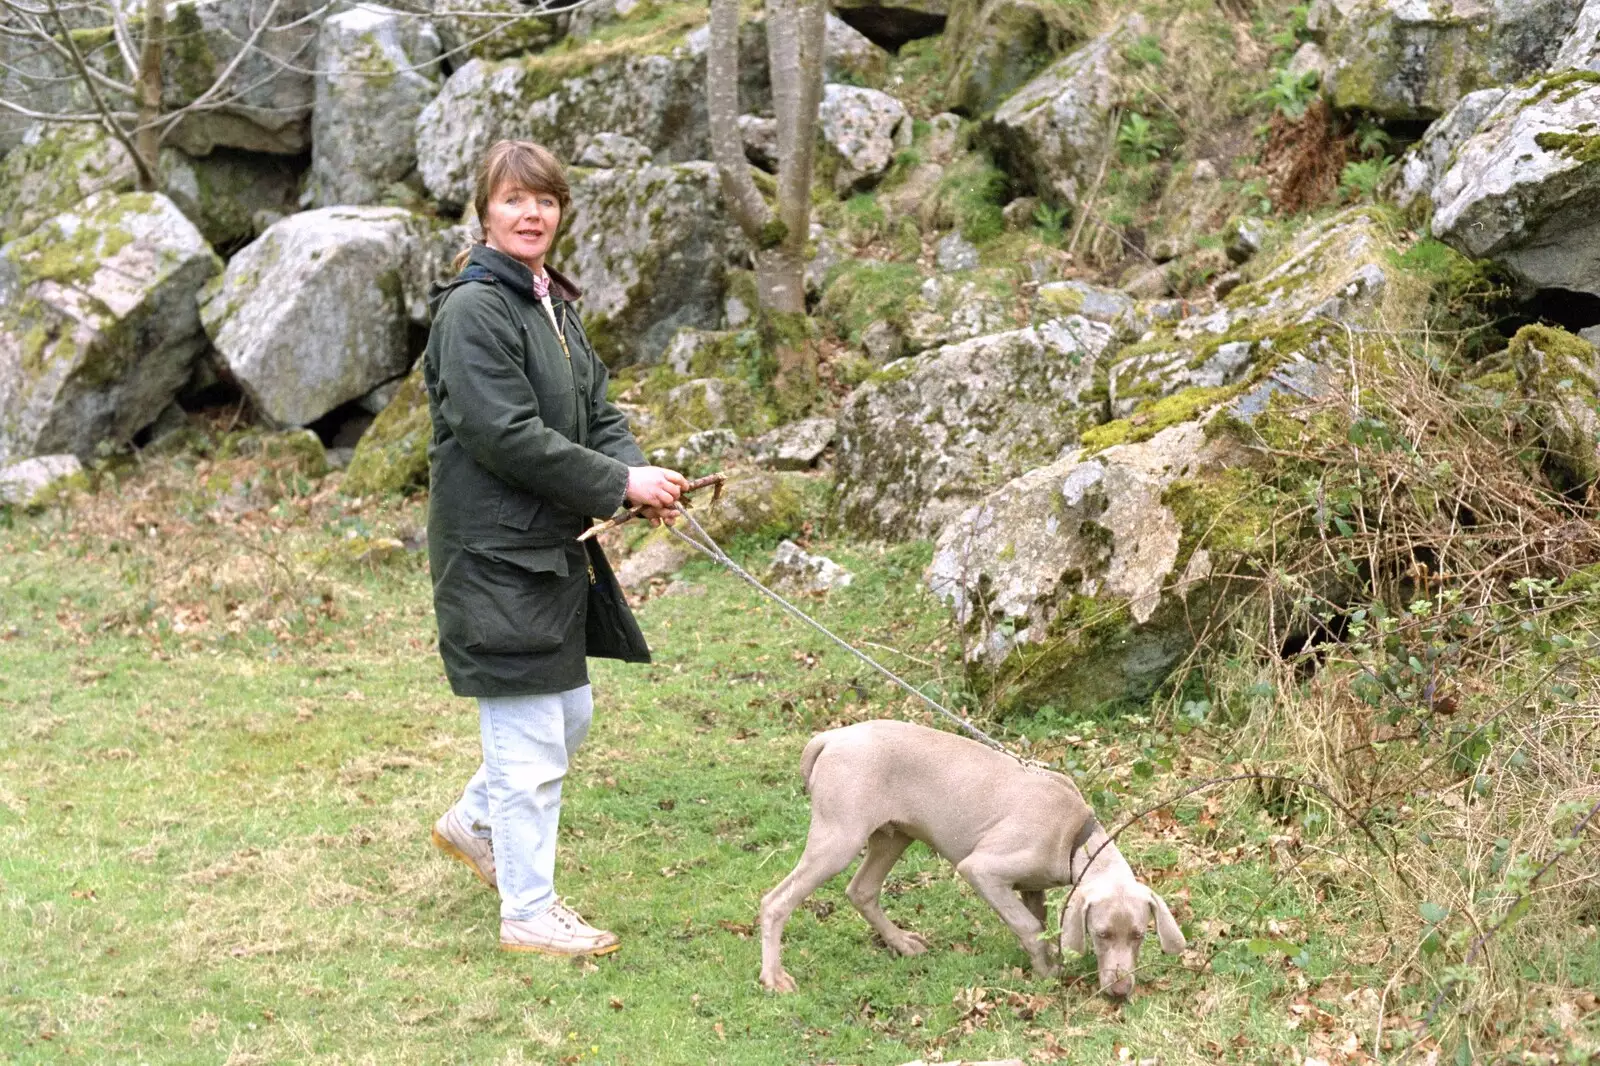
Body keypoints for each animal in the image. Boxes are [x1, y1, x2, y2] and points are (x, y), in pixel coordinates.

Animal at [755, 713, 1184, 998]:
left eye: (1139, 935)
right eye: (1101, 934)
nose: (1121, 990)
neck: (1073, 836)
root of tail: (831, 737)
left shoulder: (1031, 886)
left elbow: (1035, 920)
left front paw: (1046, 957)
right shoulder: (981, 869)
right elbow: (1027, 924)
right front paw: (1046, 969)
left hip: (893, 836)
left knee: (861, 891)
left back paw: (902, 943)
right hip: (839, 838)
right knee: (776, 901)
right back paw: (774, 977)